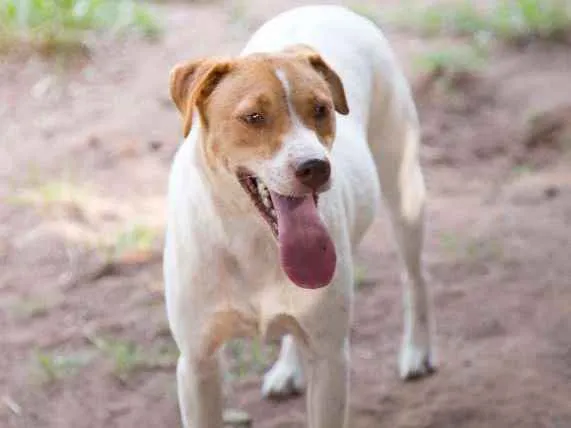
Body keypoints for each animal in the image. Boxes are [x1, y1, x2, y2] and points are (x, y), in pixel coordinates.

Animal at [163, 4, 436, 428]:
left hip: (404, 186)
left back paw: (417, 351)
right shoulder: (196, 364)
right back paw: (288, 369)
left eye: (321, 109)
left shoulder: (331, 358)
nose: (316, 167)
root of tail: (326, 7)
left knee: (415, 276)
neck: (253, 240)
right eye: (253, 117)